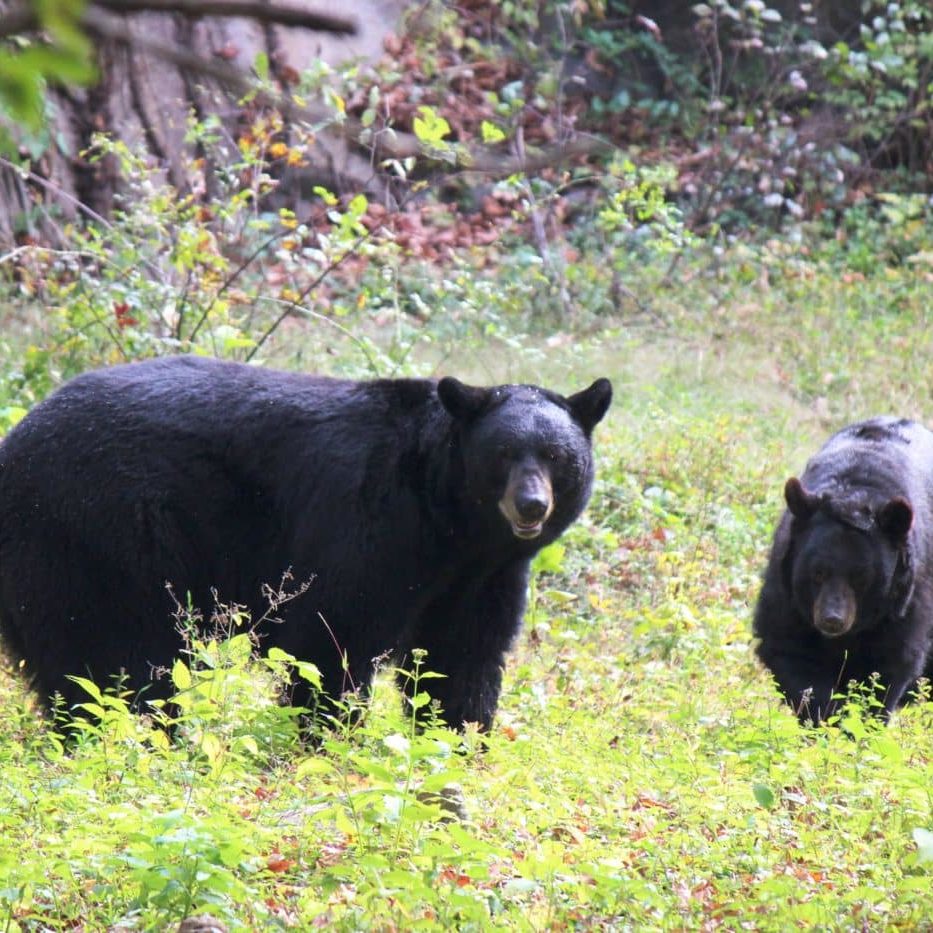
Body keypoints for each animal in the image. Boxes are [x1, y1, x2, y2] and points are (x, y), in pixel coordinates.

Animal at [0, 355, 611, 732]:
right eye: (502, 454)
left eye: (556, 457)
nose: (530, 506)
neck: (449, 523)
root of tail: (15, 445)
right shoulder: (369, 523)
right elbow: (332, 636)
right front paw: (330, 739)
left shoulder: (482, 576)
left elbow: (464, 656)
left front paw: (456, 740)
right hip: (99, 540)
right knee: (113, 661)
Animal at [753, 416, 933, 725]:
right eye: (817, 573)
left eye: (861, 579)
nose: (832, 619)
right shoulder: (787, 592)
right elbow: (790, 650)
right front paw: (825, 715)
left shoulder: (905, 598)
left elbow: (889, 665)